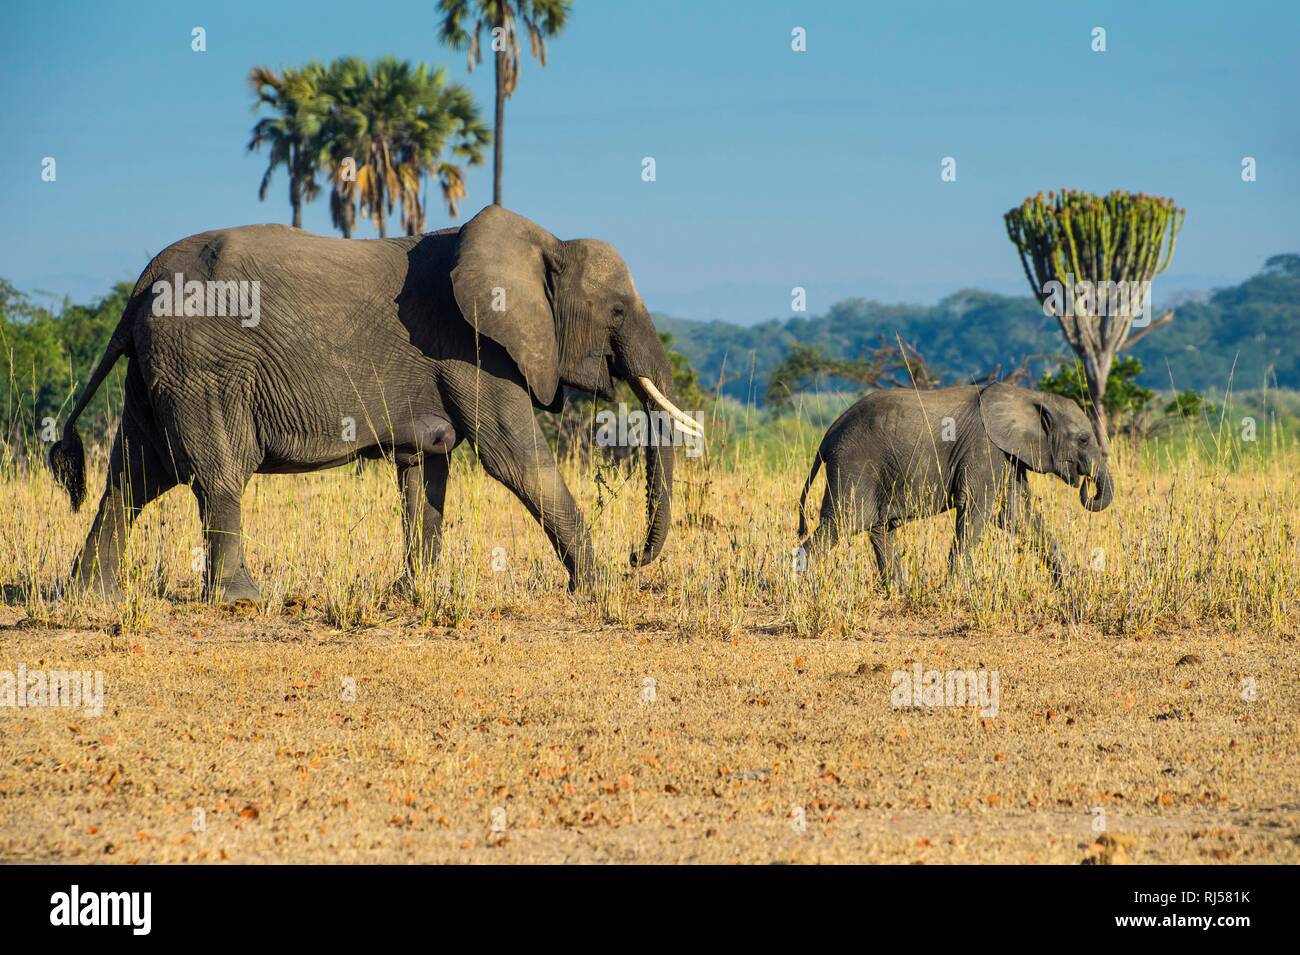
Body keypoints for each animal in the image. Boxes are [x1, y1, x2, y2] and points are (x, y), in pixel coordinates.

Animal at [48, 205, 702, 601]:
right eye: (616, 311)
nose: (636, 559)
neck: (544, 242)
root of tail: (140, 285)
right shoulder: (473, 349)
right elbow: (515, 459)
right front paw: (599, 588)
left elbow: (427, 470)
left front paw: (419, 592)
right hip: (205, 369)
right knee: (214, 476)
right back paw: (243, 599)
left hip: (159, 368)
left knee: (133, 475)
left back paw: (90, 594)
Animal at [796, 382, 1113, 587]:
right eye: (1083, 439)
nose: (1086, 484)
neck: (1029, 397)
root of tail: (828, 435)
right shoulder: (984, 448)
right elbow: (975, 509)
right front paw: (958, 590)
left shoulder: (1007, 455)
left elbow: (1016, 515)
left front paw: (1069, 585)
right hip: (854, 464)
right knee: (842, 523)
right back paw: (802, 587)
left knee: (880, 529)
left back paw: (898, 592)